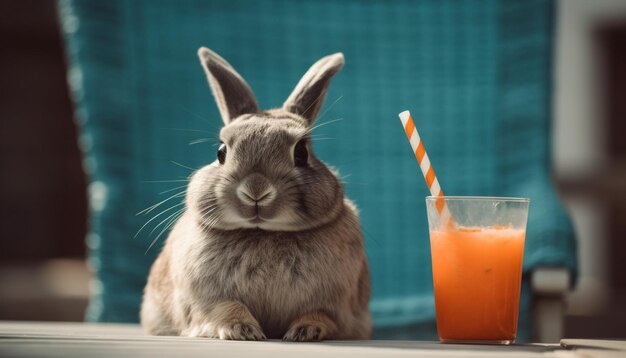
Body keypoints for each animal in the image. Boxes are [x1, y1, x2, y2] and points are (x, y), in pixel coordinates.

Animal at [139, 47, 368, 342]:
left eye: (301, 153)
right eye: (220, 152)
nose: (256, 189)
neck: (264, 232)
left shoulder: (335, 306)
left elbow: (321, 316)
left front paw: (305, 331)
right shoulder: (204, 301)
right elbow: (225, 307)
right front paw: (243, 330)